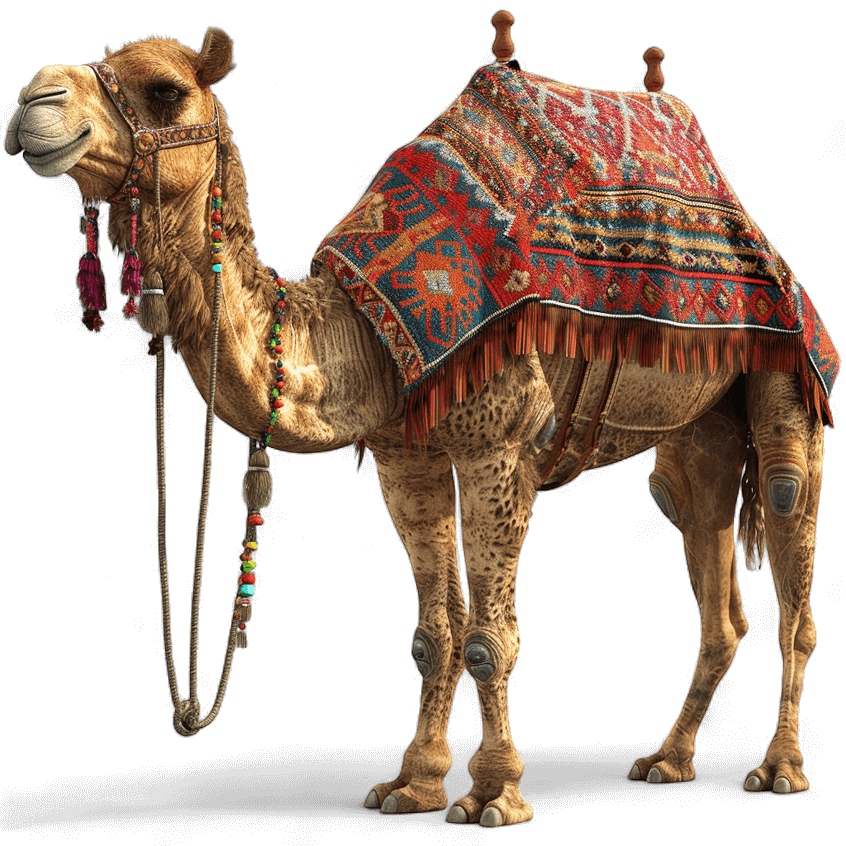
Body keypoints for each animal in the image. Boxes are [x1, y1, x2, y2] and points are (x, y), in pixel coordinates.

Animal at [6, 22, 832, 827]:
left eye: (165, 89)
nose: (31, 100)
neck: (366, 339)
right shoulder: (408, 458)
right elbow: (436, 635)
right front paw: (416, 783)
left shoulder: (499, 447)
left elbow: (491, 638)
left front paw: (496, 794)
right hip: (698, 434)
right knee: (711, 568)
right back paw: (667, 759)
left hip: (788, 369)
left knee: (789, 548)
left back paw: (780, 770)